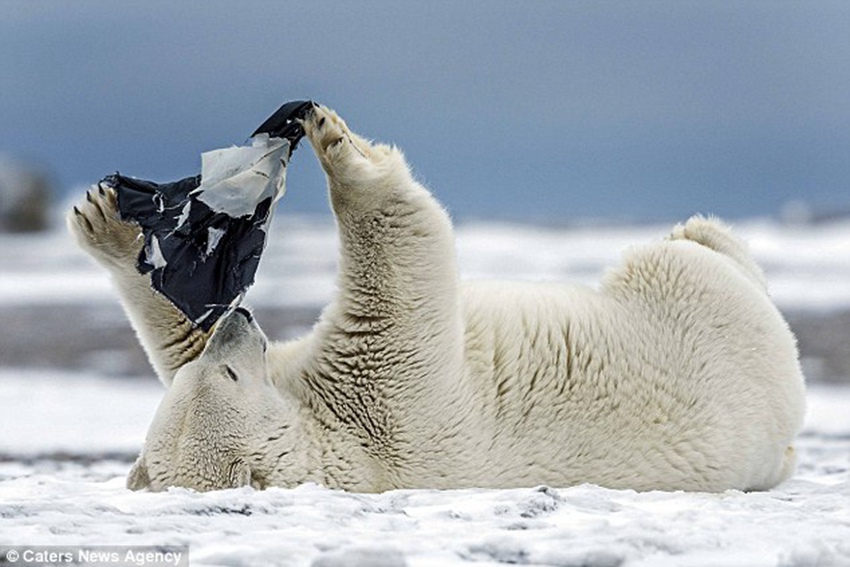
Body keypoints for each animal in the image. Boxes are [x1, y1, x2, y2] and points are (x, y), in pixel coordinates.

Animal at [68, 104, 806, 493]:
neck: (333, 437)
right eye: (224, 374)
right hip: (693, 309)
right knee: (684, 265)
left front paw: (108, 222)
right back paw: (702, 232)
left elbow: (177, 333)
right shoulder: (389, 403)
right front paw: (335, 142)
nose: (242, 322)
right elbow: (403, 261)